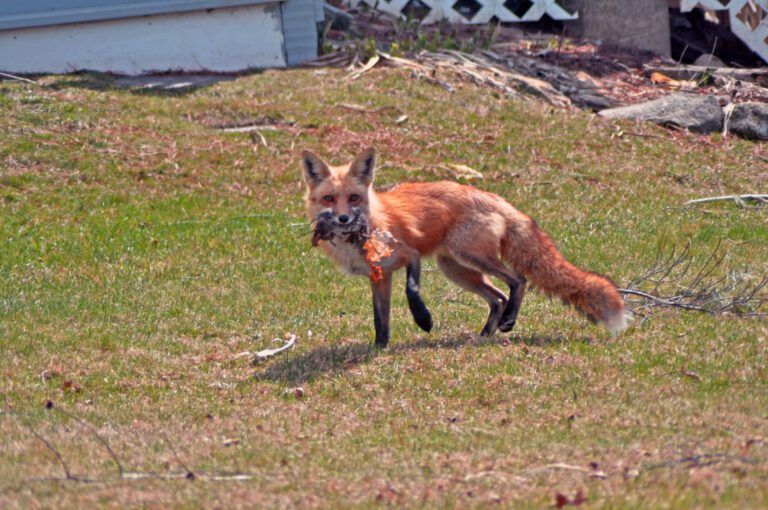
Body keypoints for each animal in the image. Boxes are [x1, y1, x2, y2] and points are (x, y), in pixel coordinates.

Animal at [301, 147, 630, 348]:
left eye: (354, 198)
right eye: (330, 198)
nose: (344, 219)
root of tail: (497, 199)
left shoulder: (410, 254)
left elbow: (413, 289)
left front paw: (423, 319)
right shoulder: (380, 276)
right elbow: (380, 318)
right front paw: (379, 348)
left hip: (468, 257)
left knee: (518, 280)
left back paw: (508, 321)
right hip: (456, 269)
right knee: (497, 297)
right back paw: (485, 335)